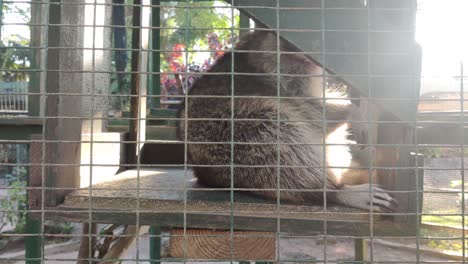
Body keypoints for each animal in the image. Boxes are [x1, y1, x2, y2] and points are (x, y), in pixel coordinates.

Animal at [177, 31, 396, 212]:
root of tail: (205, 175)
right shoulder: (275, 71)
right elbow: (314, 113)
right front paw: (358, 109)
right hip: (232, 132)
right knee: (282, 142)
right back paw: (332, 190)